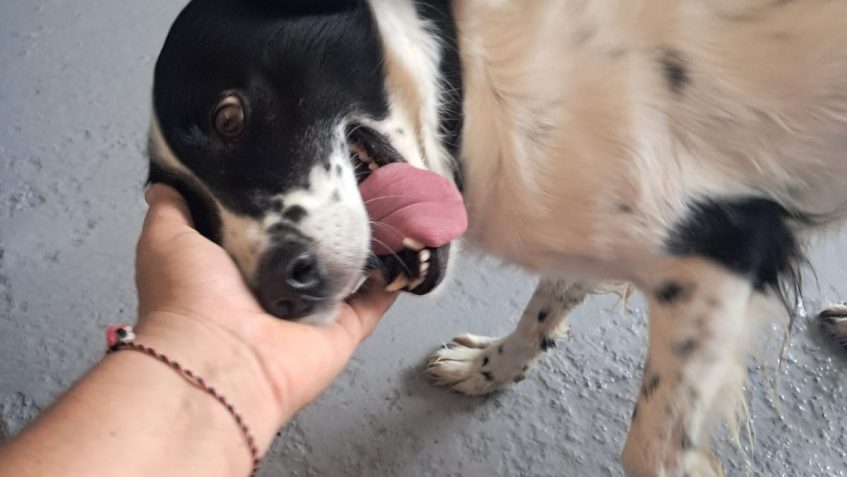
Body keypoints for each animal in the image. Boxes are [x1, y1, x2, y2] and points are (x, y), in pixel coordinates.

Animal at [147, 1, 847, 475]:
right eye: (200, 220)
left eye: (228, 118)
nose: (282, 296)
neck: (471, 73)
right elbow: (547, 301)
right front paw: (491, 368)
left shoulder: (725, 250)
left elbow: (648, 450)